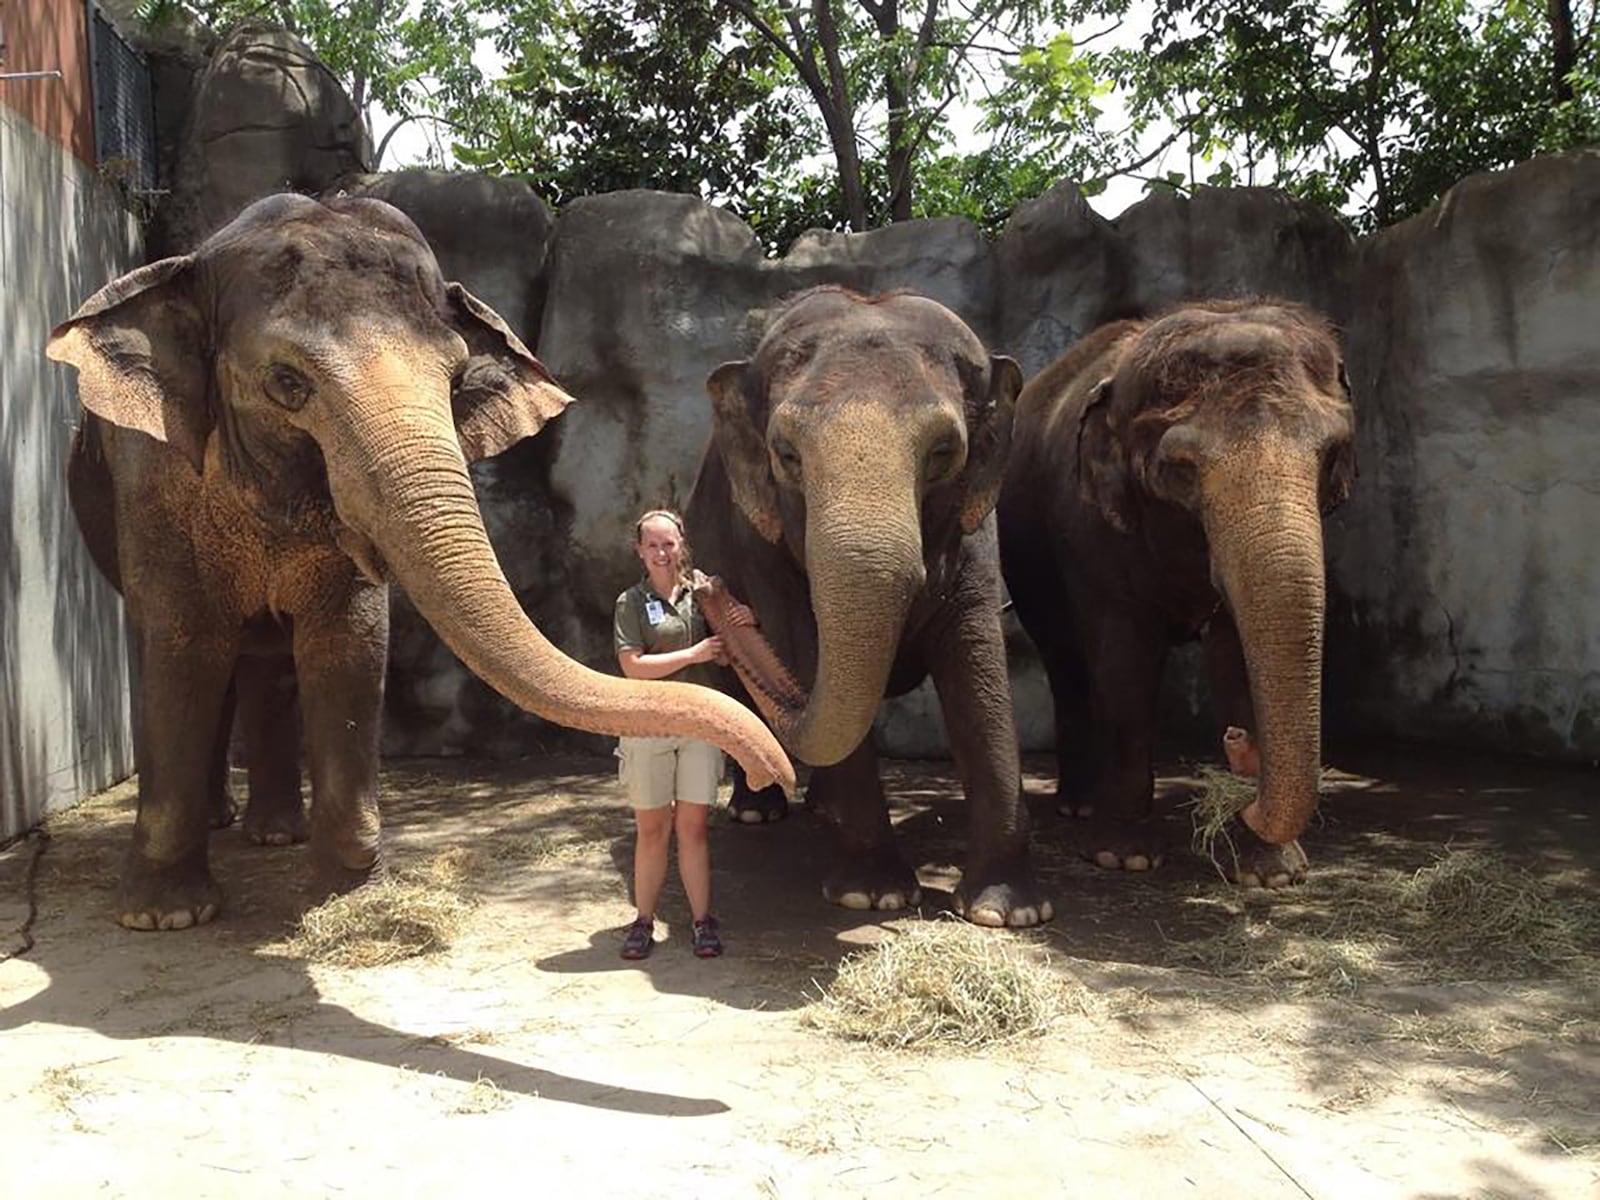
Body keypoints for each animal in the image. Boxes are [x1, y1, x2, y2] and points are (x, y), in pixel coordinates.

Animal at [47, 192, 792, 931]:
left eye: (457, 379)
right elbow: (184, 645)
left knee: (267, 664)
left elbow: (349, 643)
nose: (772, 772)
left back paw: (275, 832)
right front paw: (166, 916)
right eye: (286, 381)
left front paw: (342, 887)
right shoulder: (152, 481)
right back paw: (224, 826)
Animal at [686, 285, 1051, 928]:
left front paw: (1005, 911)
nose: (711, 589)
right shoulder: (759, 538)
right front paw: (871, 896)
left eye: (944, 451)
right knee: (733, 693)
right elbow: (805, 648)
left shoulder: (977, 530)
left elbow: (976, 665)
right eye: (786, 455)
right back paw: (760, 811)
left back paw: (822, 812)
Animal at [996, 299, 1356, 887]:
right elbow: (1127, 664)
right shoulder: (1092, 530)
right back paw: (1080, 808)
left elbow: (1237, 657)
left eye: (1331, 454)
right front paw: (1124, 858)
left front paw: (1270, 873)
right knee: (1064, 660)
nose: (1237, 745)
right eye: (1181, 470)